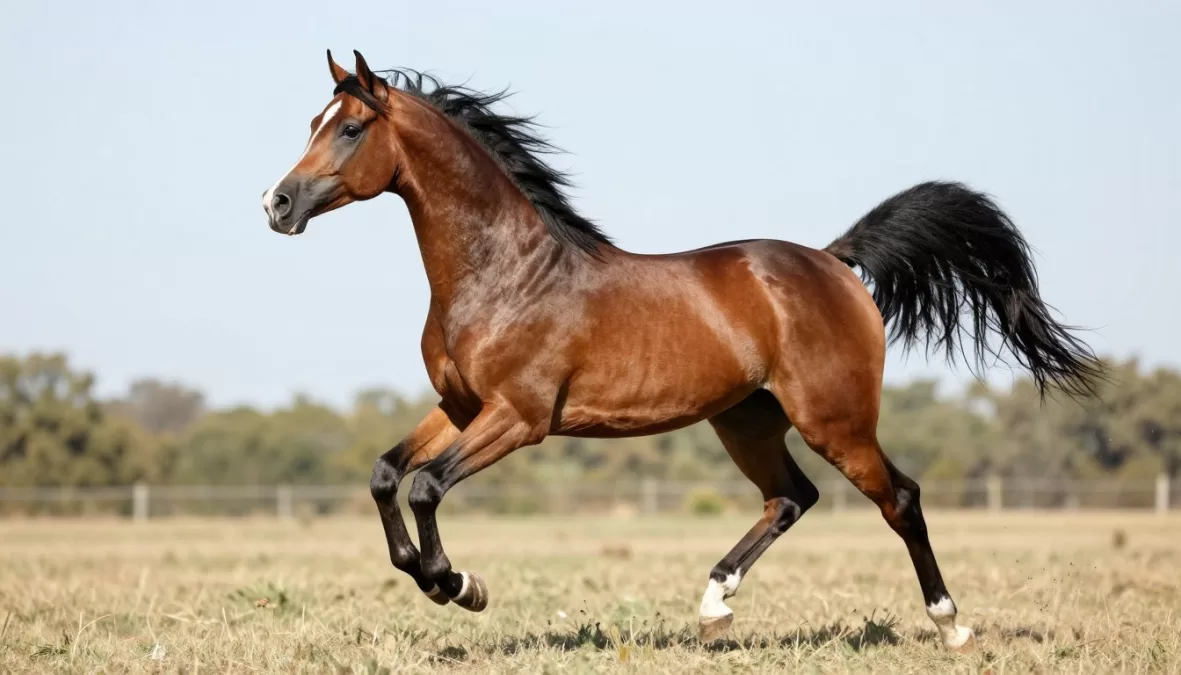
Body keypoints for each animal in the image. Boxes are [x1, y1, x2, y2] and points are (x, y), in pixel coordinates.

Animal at [262, 50, 1102, 651]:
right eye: (312, 119)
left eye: (349, 128)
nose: (276, 203)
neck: (503, 271)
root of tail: (832, 263)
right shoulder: (462, 405)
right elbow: (385, 475)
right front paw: (434, 576)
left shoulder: (519, 417)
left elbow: (428, 486)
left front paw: (458, 583)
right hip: (745, 419)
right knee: (790, 497)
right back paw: (712, 606)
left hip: (835, 420)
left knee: (899, 497)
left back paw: (951, 623)